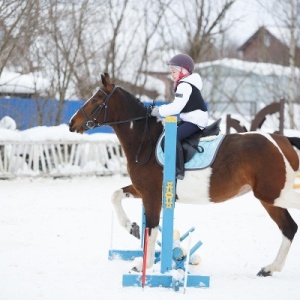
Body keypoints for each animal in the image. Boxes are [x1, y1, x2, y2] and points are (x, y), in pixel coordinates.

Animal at [68, 72, 300, 276]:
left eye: (96, 100)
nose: (71, 123)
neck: (146, 140)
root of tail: (283, 140)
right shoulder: (142, 190)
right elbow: (116, 196)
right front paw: (132, 228)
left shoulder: (152, 196)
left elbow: (152, 229)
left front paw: (146, 266)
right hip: (270, 199)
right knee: (289, 228)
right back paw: (269, 268)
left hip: (273, 194)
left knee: (290, 222)